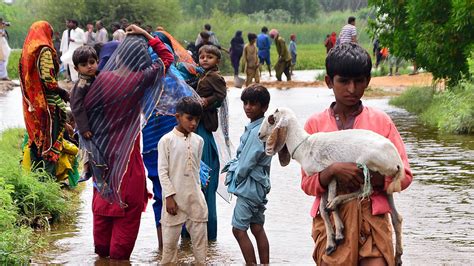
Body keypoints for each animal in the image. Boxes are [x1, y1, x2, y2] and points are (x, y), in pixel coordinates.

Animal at [260, 107, 404, 264]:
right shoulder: (322, 181)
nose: (259, 135)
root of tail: (397, 162)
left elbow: (327, 203)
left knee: (367, 190)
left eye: (271, 118)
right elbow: (323, 210)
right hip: (386, 186)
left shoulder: (332, 174)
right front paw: (330, 244)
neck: (305, 146)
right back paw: (398, 256)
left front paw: (339, 233)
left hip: (365, 164)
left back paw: (337, 201)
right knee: (396, 217)